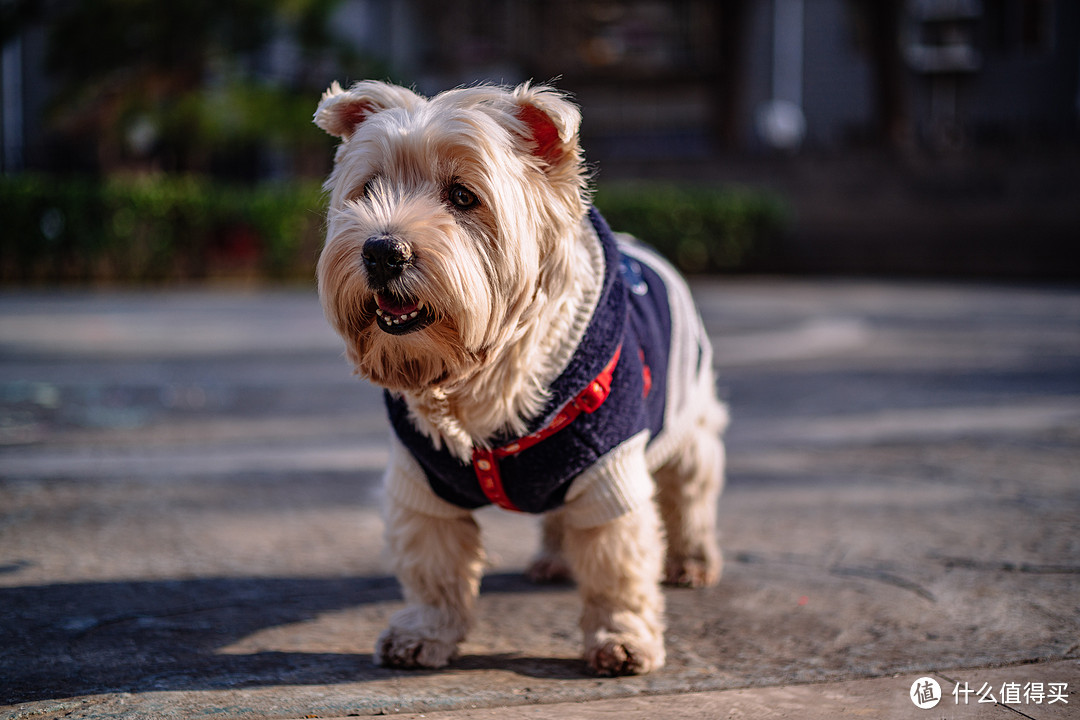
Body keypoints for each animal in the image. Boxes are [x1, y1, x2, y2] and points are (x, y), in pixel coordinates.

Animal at [315, 80, 730, 677]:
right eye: (368, 189)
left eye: (464, 197)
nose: (381, 251)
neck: (477, 377)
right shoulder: (421, 476)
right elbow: (433, 563)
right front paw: (424, 632)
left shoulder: (608, 467)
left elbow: (618, 564)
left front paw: (621, 637)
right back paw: (554, 559)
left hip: (688, 416)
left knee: (691, 492)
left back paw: (693, 561)